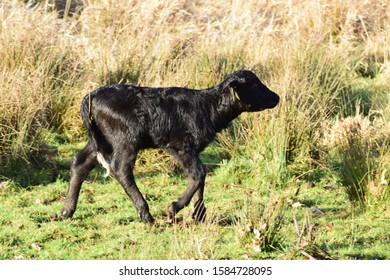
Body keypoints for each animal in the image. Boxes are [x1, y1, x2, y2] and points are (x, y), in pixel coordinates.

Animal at [61, 69, 278, 223]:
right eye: (255, 85)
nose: (277, 97)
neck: (207, 107)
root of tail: (91, 96)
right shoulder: (179, 144)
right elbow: (198, 173)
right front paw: (174, 208)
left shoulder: (193, 149)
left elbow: (199, 176)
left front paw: (199, 215)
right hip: (125, 139)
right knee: (121, 169)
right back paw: (146, 214)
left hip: (99, 140)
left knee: (80, 163)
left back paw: (66, 211)